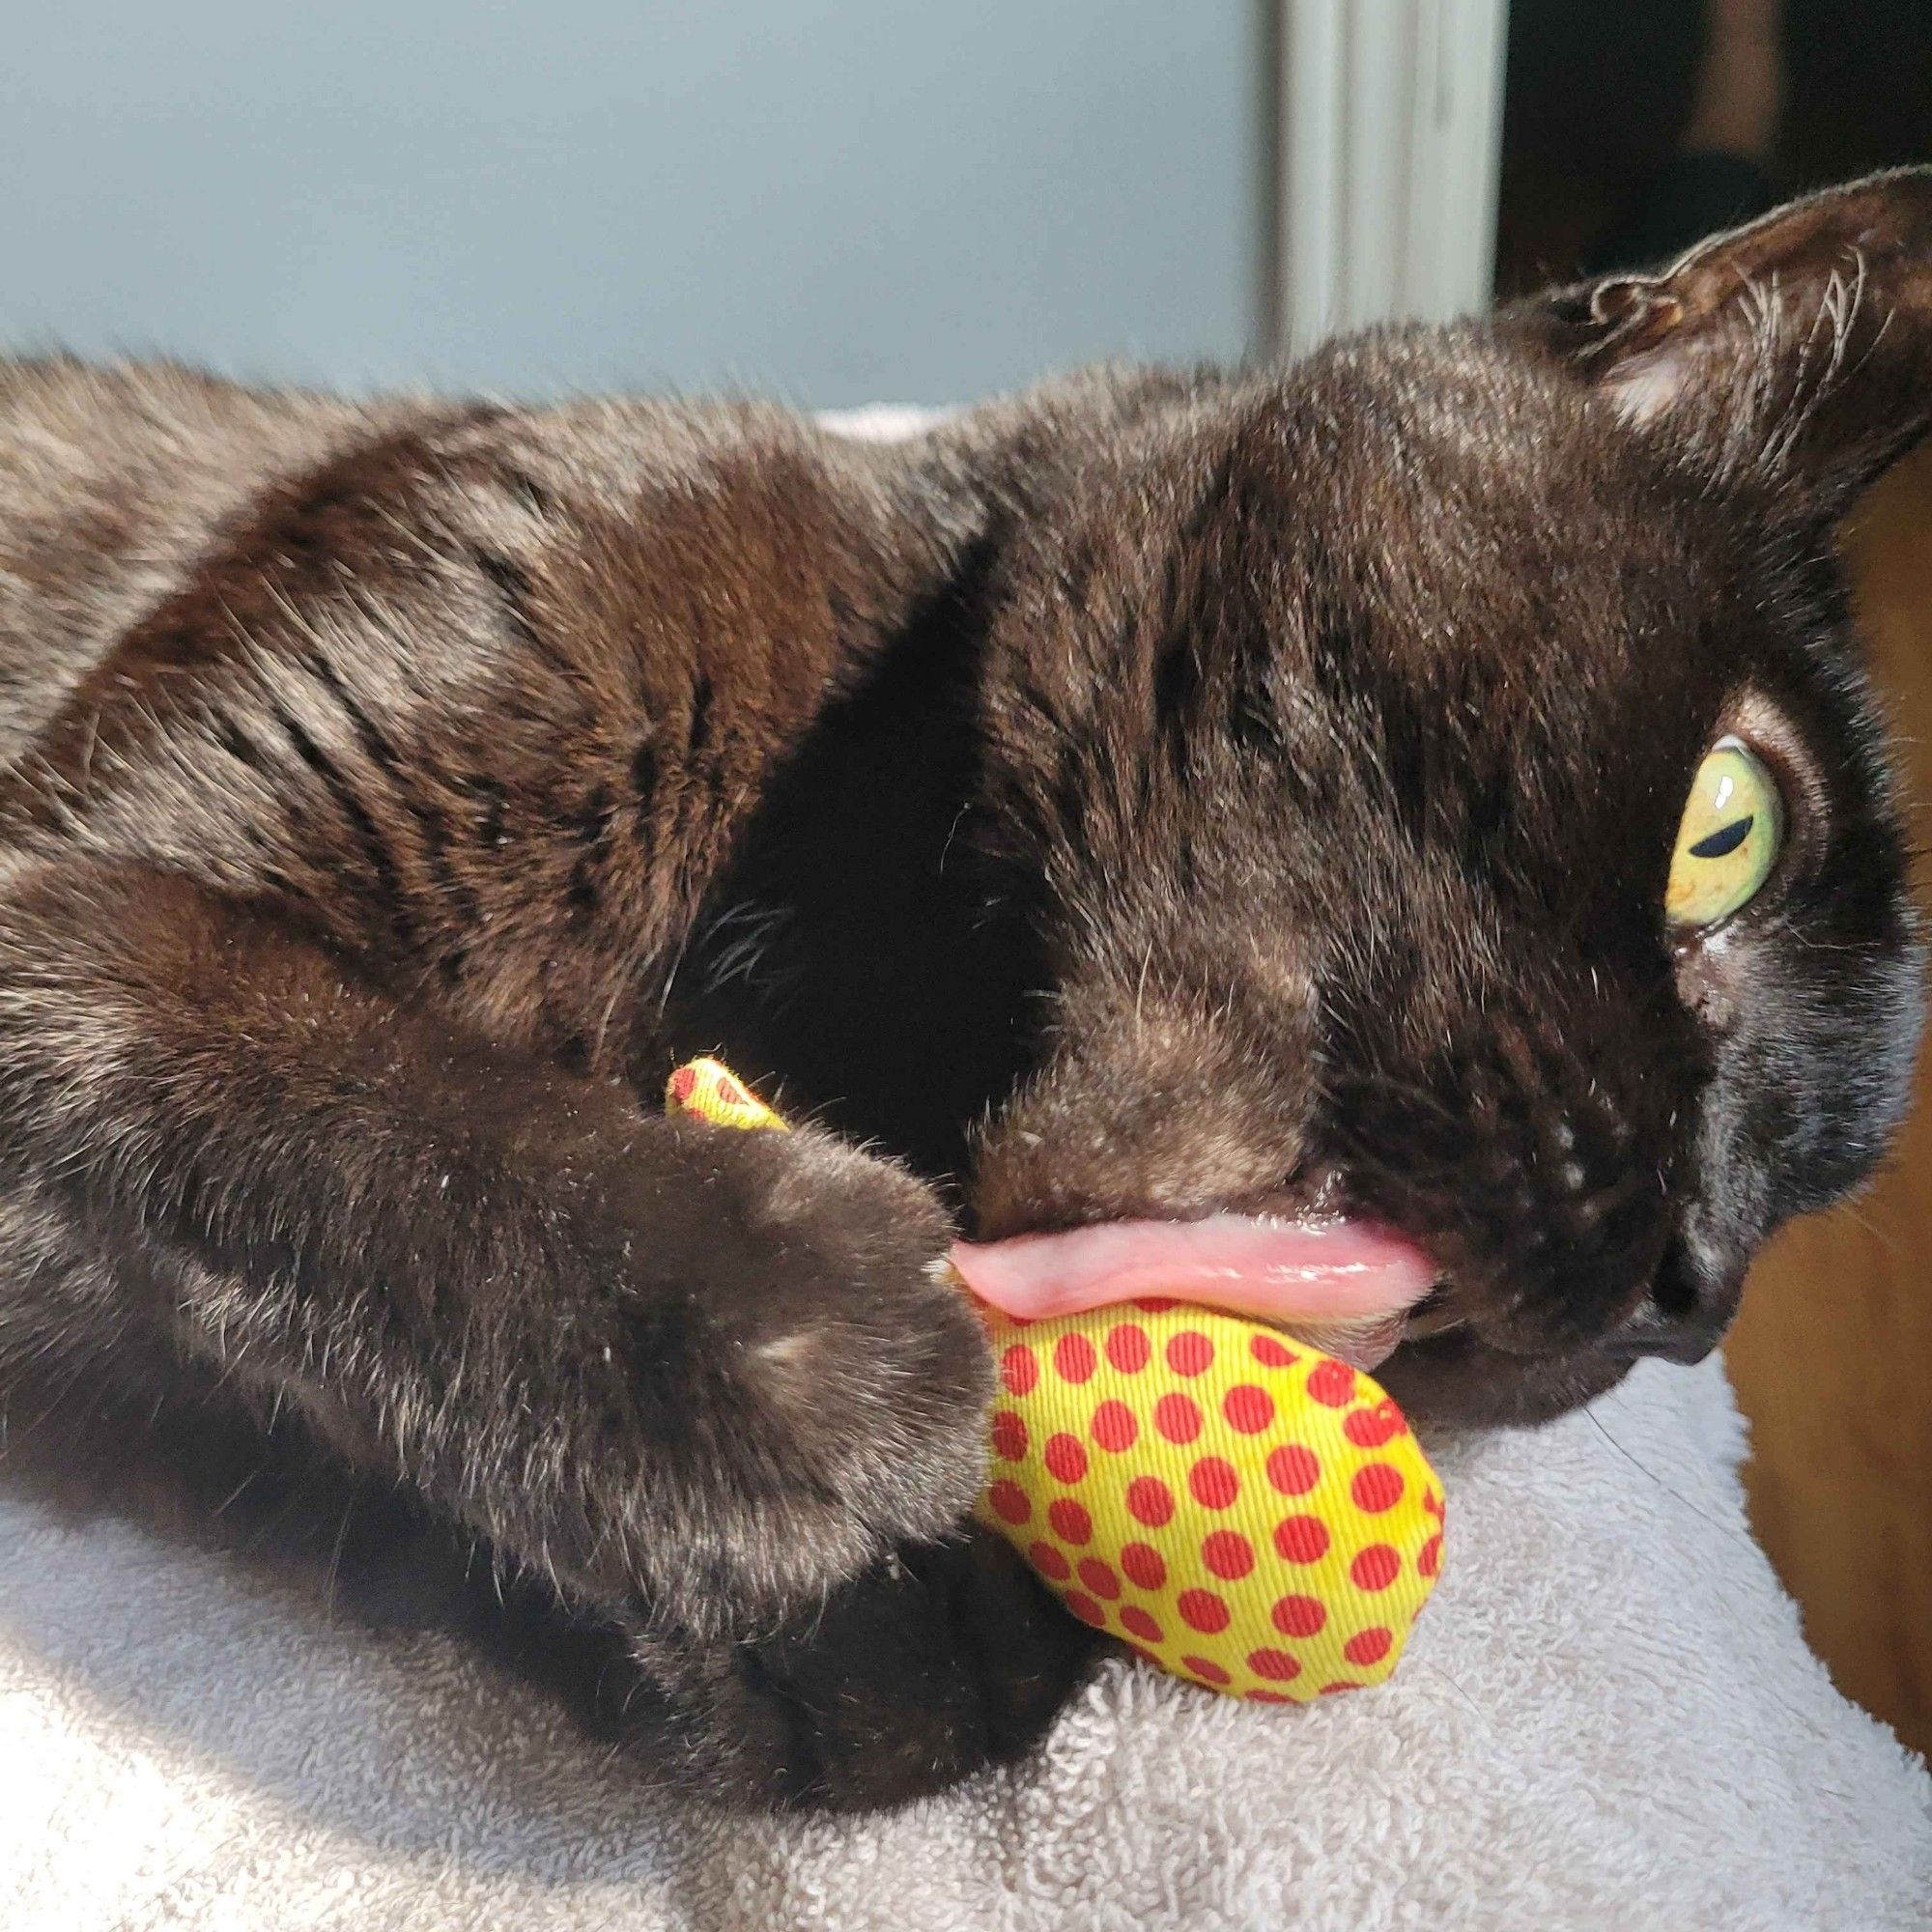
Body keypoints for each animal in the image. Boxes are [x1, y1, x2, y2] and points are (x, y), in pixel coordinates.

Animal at [0, 170, 1924, 1808]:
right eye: (1728, 831)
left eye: (1798, 1204)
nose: (1691, 1285)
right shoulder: (77, 902)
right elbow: (328, 1107)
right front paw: (799, 1337)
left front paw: (882, 1622)